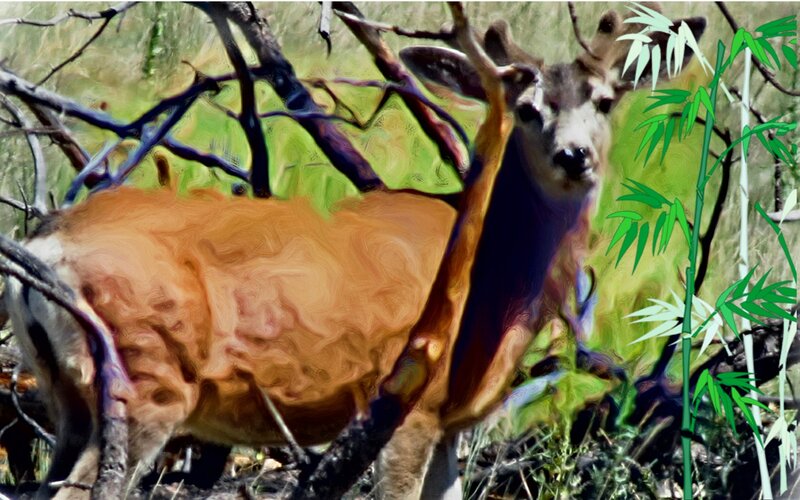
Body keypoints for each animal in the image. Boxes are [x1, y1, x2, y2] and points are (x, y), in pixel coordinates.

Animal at [1, 4, 704, 500]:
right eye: (527, 110)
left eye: (606, 101)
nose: (574, 155)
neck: (493, 288)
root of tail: (46, 243)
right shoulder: (407, 401)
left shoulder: (449, 423)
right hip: (145, 377)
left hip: (67, 398)